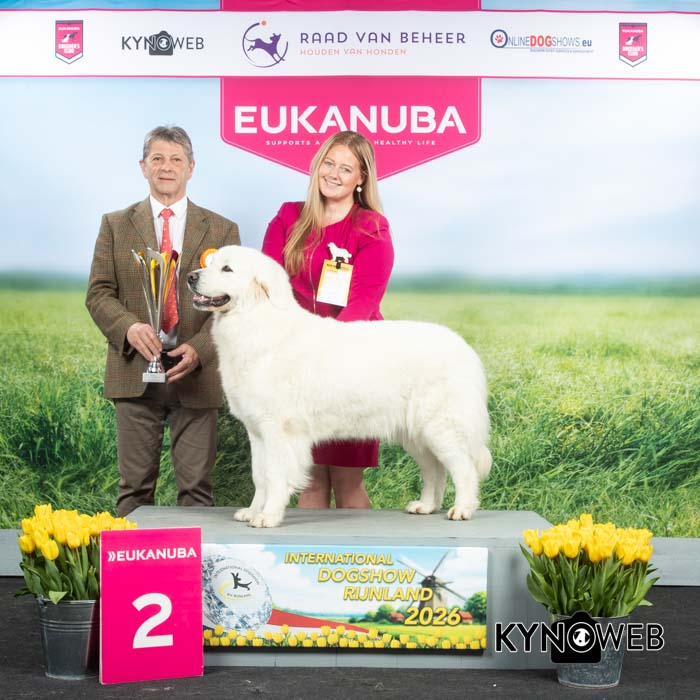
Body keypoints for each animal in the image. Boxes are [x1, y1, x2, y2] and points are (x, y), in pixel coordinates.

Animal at [188, 246, 492, 528]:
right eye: (211, 263)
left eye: (227, 269)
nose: (190, 276)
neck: (256, 322)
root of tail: (464, 347)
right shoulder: (257, 431)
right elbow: (259, 476)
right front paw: (252, 511)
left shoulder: (277, 430)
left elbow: (274, 476)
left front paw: (268, 516)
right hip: (416, 434)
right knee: (434, 471)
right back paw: (426, 506)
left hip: (441, 427)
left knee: (463, 468)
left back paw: (462, 509)